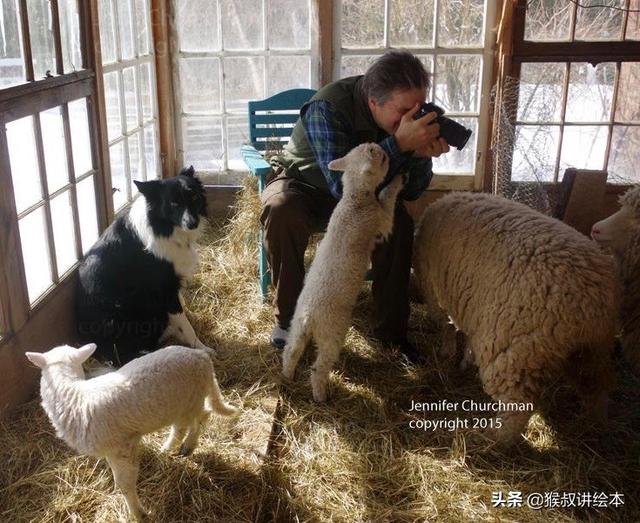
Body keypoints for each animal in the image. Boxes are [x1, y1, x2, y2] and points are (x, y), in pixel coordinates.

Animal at [23, 344, 240, 520]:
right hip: (183, 404)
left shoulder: (121, 448)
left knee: (200, 417)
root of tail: (201, 357)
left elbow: (124, 484)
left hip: (189, 401)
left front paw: (138, 512)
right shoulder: (112, 449)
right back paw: (169, 448)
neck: (74, 394)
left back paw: (187, 445)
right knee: (190, 422)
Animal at [282, 142, 402, 402]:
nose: (377, 145)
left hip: (297, 328)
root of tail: (309, 316)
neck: (354, 201)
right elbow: (388, 199)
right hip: (332, 333)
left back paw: (286, 375)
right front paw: (399, 179)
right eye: (381, 157)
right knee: (319, 368)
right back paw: (320, 395)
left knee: (291, 351)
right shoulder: (380, 218)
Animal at [416, 192, 620, 446]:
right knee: (596, 386)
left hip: (516, 349)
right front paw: (466, 359)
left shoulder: (437, 291)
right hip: (593, 349)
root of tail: (589, 300)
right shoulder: (475, 309)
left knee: (517, 406)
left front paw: (448, 353)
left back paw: (494, 438)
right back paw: (596, 425)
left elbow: (446, 326)